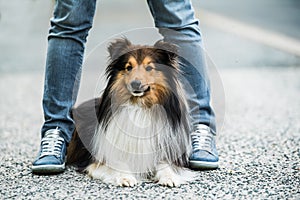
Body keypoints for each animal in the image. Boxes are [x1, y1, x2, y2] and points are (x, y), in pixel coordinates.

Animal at [67, 38, 195, 187]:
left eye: (149, 68)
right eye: (128, 67)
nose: (135, 84)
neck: (139, 106)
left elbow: (165, 165)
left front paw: (169, 177)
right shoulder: (102, 157)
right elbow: (118, 162)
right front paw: (125, 177)